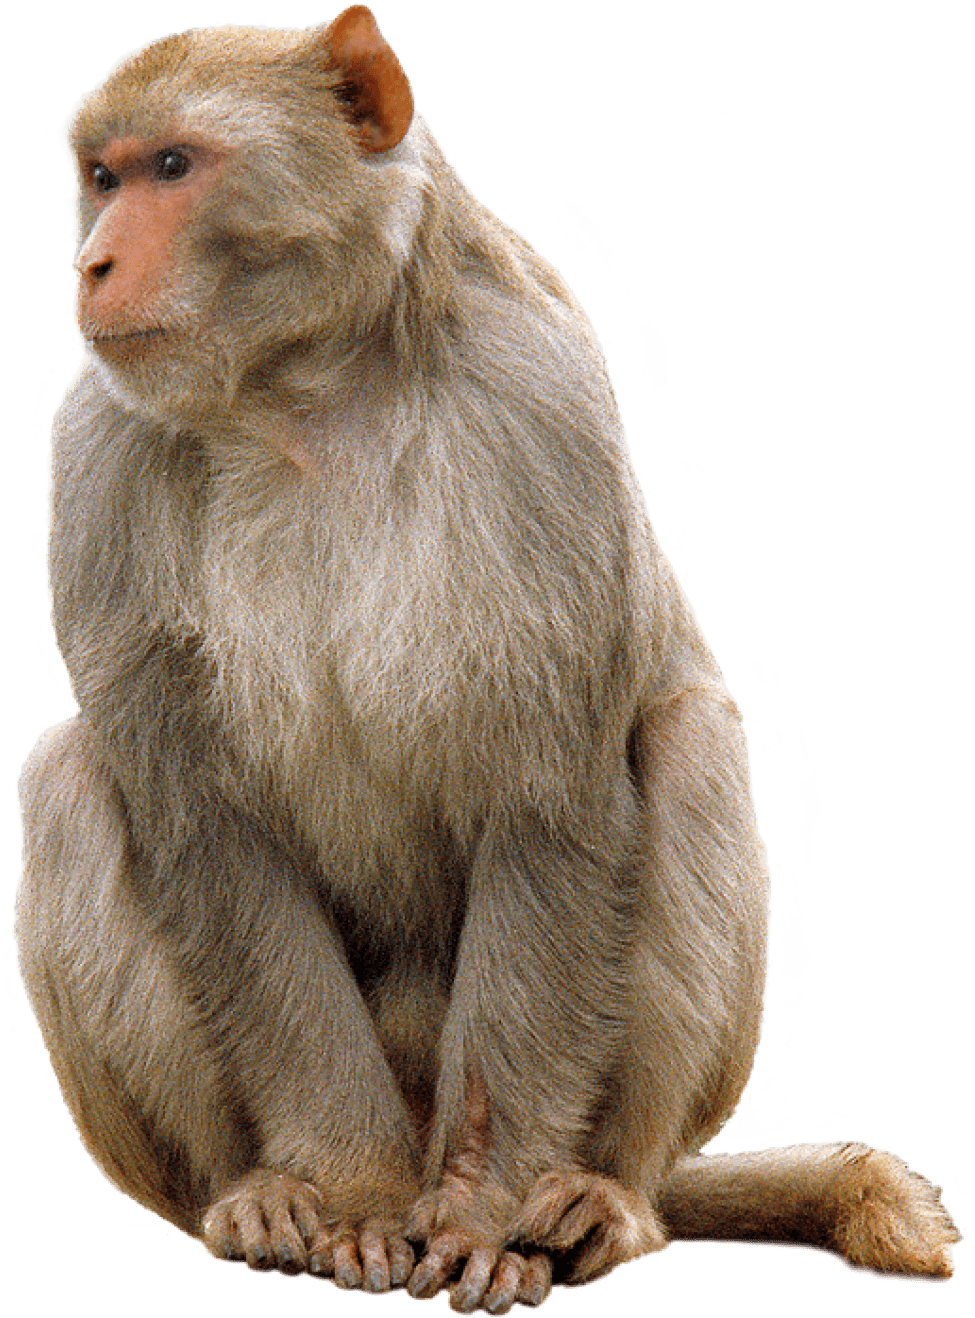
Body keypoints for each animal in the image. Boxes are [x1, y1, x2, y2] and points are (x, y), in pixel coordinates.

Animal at [12, 7, 959, 1313]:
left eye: (171, 167)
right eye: (101, 179)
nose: (94, 265)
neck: (307, 389)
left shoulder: (538, 407)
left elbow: (549, 804)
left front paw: (479, 1214)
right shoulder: (97, 452)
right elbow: (209, 833)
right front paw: (350, 1197)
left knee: (686, 744)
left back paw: (598, 1204)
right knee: (66, 776)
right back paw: (252, 1199)